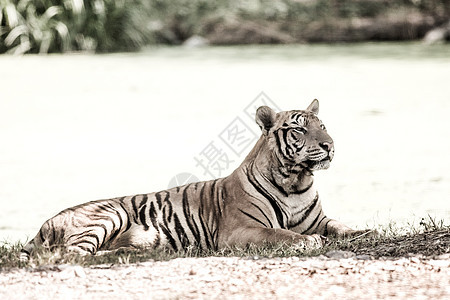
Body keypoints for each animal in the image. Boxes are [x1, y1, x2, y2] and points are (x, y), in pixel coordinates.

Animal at [19, 99, 368, 262]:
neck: (295, 181)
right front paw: (308, 242)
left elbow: (342, 227)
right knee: (72, 254)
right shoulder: (240, 230)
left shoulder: (318, 219)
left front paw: (363, 232)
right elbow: (280, 234)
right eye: (298, 129)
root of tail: (46, 222)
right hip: (106, 215)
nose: (329, 145)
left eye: (322, 125)